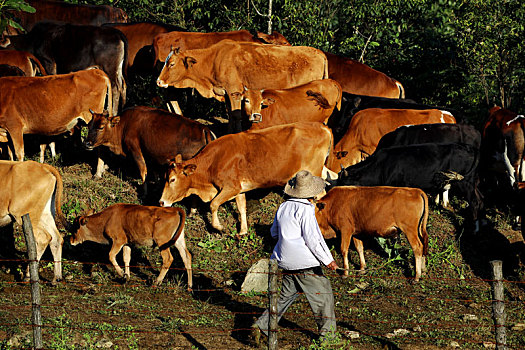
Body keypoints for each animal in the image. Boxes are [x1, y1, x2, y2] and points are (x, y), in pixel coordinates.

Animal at [84, 106, 213, 183]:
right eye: (89, 125)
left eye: (101, 127)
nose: (87, 143)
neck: (122, 126)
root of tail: (204, 129)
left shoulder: (136, 151)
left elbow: (143, 170)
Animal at [156, 39, 328, 132]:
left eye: (171, 64)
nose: (158, 81)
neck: (215, 59)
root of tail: (321, 53)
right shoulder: (226, 93)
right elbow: (231, 115)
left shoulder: (235, 92)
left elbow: (236, 115)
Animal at [160, 122, 338, 235]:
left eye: (172, 180)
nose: (161, 202)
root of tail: (322, 126)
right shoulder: (239, 189)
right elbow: (241, 207)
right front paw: (243, 231)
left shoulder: (230, 187)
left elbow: (213, 204)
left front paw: (218, 227)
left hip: (313, 171)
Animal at [338, 142, 482, 230]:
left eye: (345, 185)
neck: (381, 166)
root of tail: (471, 148)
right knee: (480, 198)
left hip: (465, 182)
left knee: (475, 201)